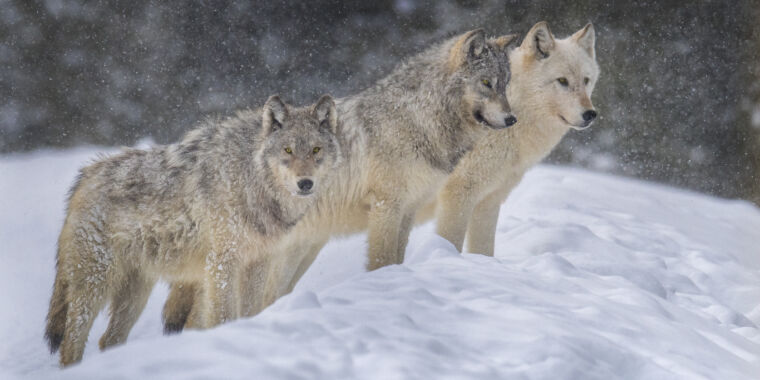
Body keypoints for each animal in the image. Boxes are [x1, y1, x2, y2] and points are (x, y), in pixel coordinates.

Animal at [46, 93, 342, 366]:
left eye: (316, 150)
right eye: (288, 151)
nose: (305, 183)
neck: (250, 179)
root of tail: (85, 176)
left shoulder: (259, 262)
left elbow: (249, 310)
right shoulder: (221, 263)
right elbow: (222, 315)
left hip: (135, 294)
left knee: (107, 340)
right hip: (96, 285)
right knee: (71, 345)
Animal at [163, 30, 520, 332]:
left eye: (505, 84)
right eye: (486, 82)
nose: (512, 118)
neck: (418, 119)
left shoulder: (408, 209)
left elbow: (397, 259)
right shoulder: (386, 206)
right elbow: (381, 261)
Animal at [422, 22, 600, 254]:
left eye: (586, 80)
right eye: (562, 81)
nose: (590, 114)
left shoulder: (489, 201)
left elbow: (484, 250)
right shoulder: (458, 196)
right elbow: (451, 242)